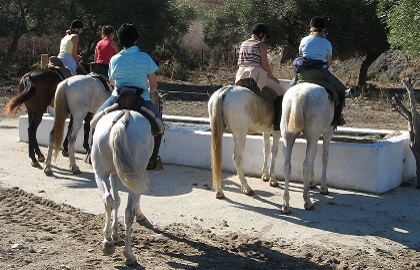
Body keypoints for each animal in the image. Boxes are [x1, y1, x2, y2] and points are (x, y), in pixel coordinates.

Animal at [91, 109, 153, 266]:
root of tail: (121, 121)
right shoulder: (136, 178)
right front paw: (140, 215)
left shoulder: (114, 174)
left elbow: (116, 200)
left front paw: (114, 235)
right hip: (135, 174)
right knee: (128, 212)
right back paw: (129, 255)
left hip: (100, 173)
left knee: (108, 199)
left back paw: (107, 242)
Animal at [280, 82, 336, 213]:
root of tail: (301, 93)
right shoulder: (328, 133)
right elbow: (324, 157)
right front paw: (323, 187)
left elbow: (314, 155)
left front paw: (311, 182)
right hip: (313, 136)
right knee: (306, 164)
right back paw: (308, 201)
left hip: (287, 137)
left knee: (287, 165)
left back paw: (286, 204)